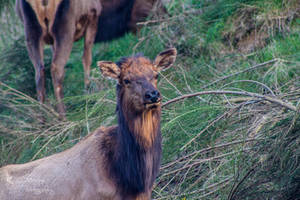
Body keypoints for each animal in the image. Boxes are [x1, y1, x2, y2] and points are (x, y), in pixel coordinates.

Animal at [15, 0, 166, 117]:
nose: (164, 16)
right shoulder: (94, 14)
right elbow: (87, 57)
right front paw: (88, 91)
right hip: (64, 27)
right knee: (56, 68)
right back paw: (63, 116)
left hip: (31, 31)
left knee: (39, 73)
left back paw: (43, 120)